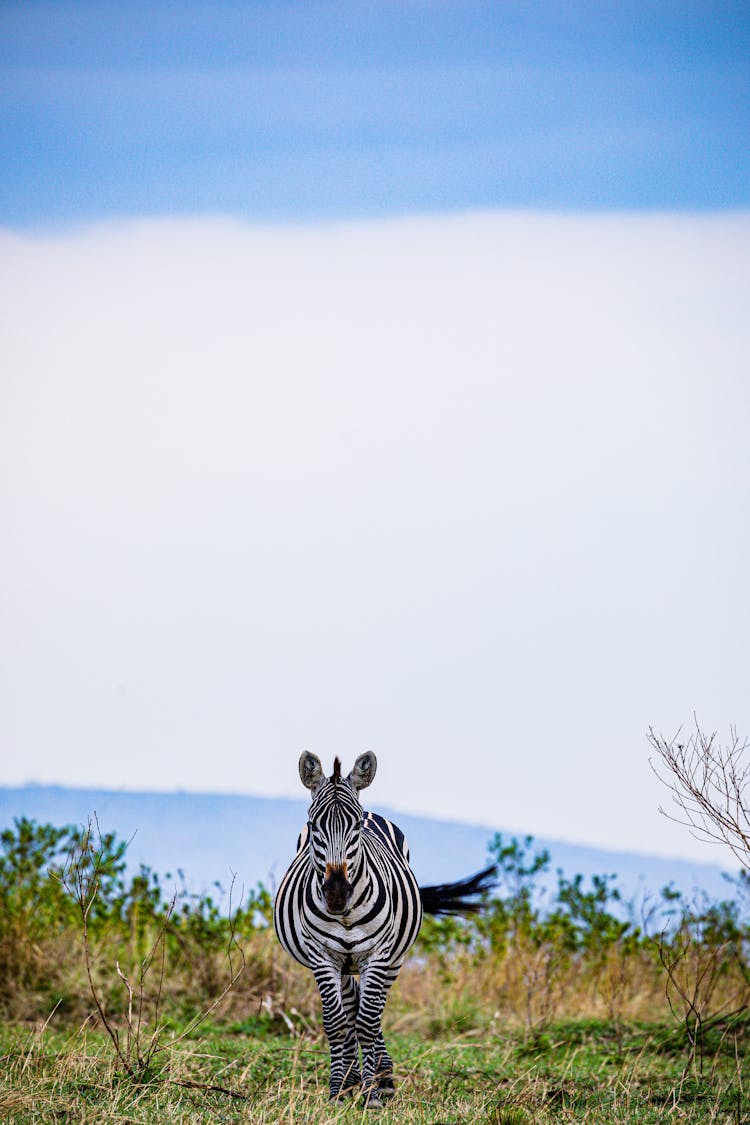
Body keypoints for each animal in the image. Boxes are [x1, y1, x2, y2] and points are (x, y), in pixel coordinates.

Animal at [273, 751, 494, 1102]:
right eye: (313, 825)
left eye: (355, 826)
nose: (336, 894)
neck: (345, 915)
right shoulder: (322, 956)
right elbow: (337, 1023)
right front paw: (337, 1090)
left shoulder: (378, 954)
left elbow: (367, 1021)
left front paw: (372, 1094)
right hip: (344, 962)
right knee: (352, 1007)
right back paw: (351, 1078)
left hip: (394, 958)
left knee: (373, 1013)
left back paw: (383, 1078)